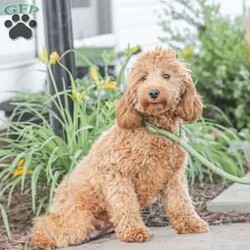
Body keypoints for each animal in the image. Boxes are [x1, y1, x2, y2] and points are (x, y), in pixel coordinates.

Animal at [32, 47, 210, 249]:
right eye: (143, 78)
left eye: (166, 75)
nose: (153, 92)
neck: (155, 129)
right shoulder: (116, 173)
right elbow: (125, 204)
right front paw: (134, 231)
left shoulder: (174, 176)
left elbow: (181, 201)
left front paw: (190, 223)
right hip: (77, 221)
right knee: (47, 225)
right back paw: (42, 239)